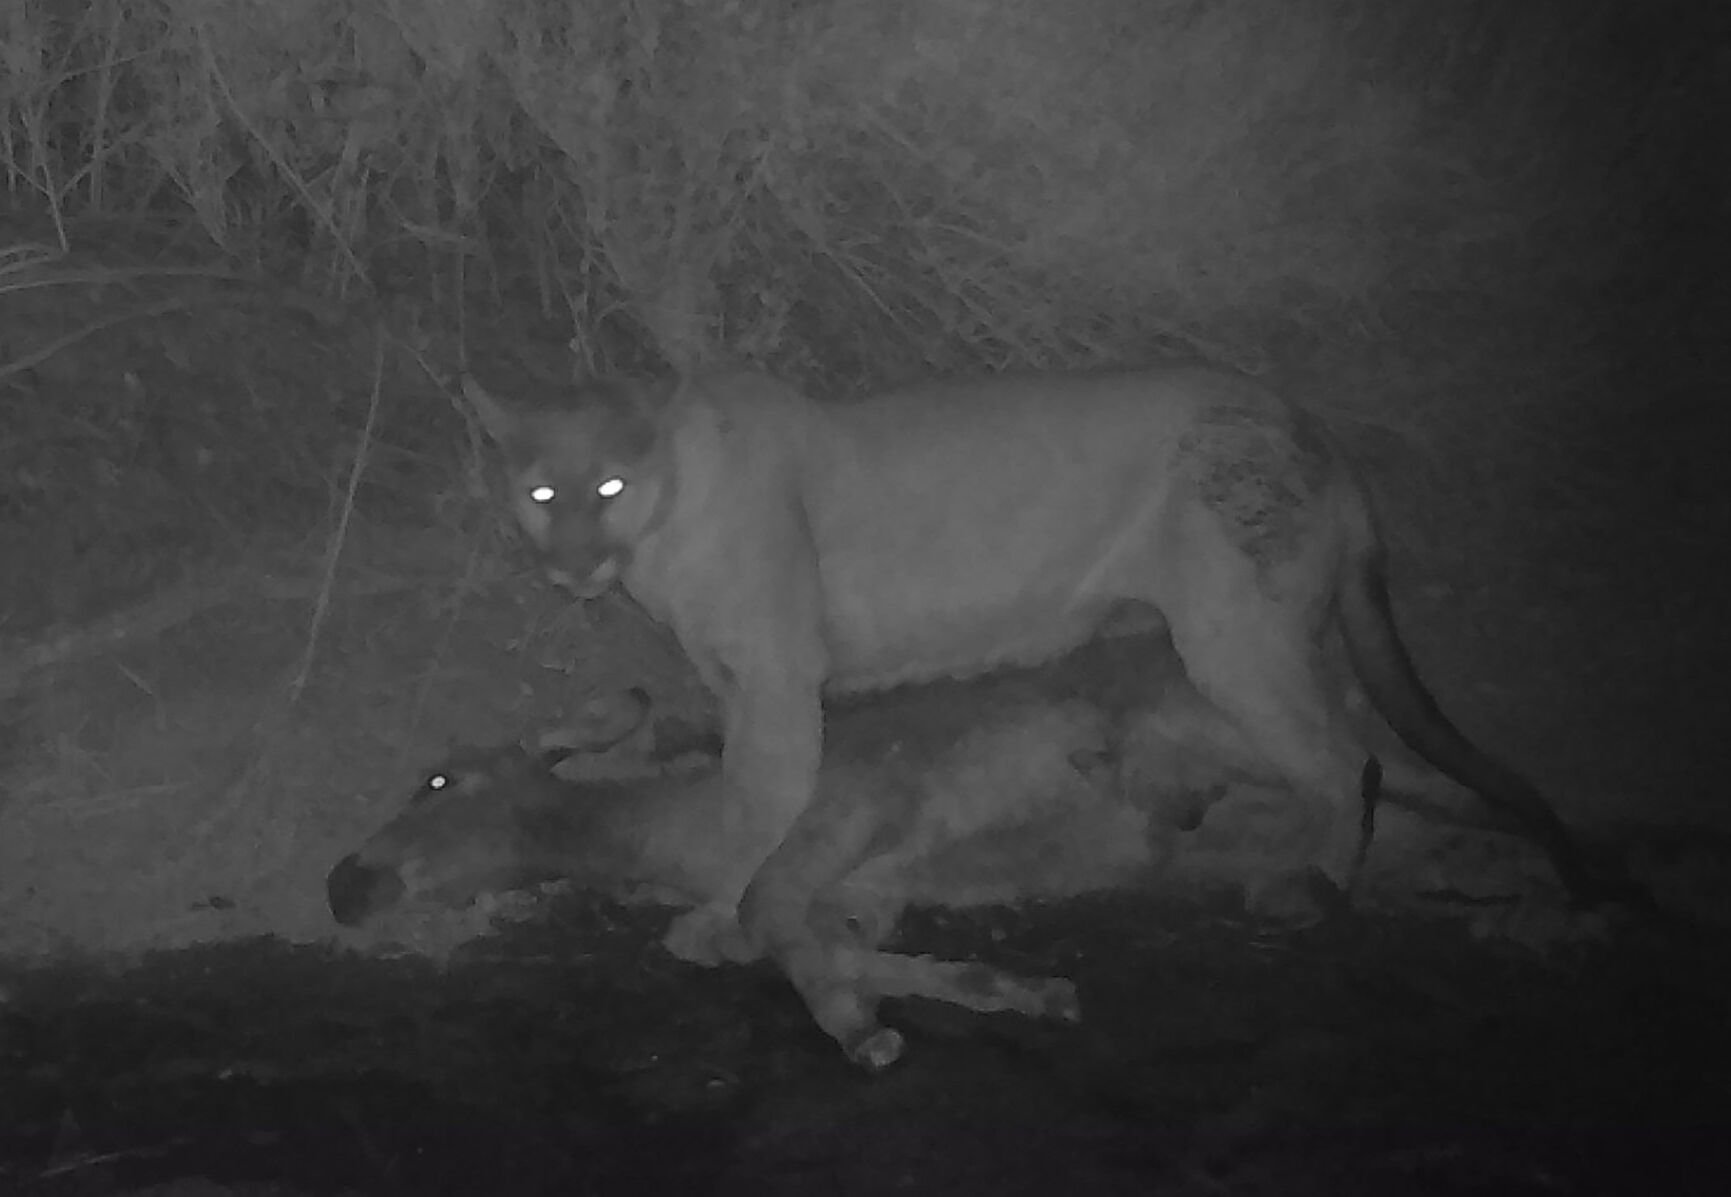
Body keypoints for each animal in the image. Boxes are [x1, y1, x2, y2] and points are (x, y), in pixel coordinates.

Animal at [460, 365, 1637, 964]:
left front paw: (712, 919)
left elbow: (756, 801)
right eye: (541, 490)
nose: (570, 562)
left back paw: (1310, 891)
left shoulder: (782, 685)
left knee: (1350, 762)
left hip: (1237, 639)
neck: (664, 529)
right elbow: (746, 793)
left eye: (609, 486)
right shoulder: (738, 683)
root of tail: (1320, 438)